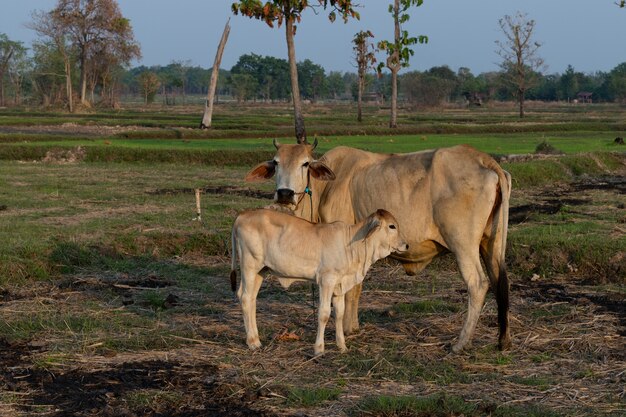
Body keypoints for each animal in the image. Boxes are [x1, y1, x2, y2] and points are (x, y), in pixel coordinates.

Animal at [229, 208, 404, 354]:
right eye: (392, 226)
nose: (406, 245)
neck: (352, 246)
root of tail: (241, 215)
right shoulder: (327, 280)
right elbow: (324, 314)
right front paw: (319, 348)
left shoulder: (339, 284)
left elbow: (339, 313)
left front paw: (342, 345)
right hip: (249, 266)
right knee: (245, 297)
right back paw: (252, 342)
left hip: (261, 271)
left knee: (251, 299)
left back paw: (255, 339)